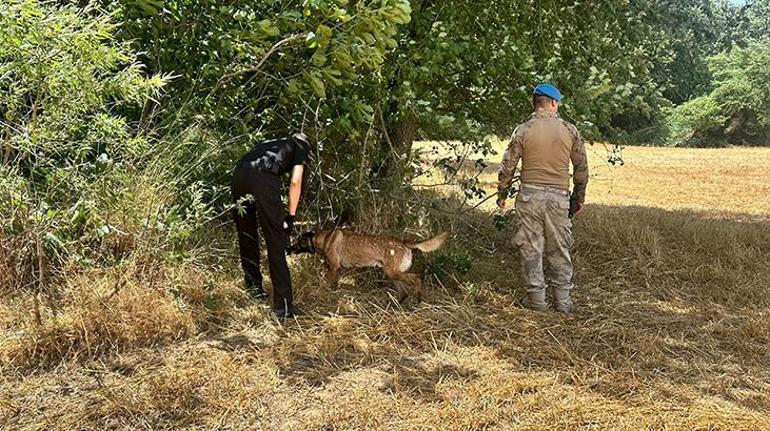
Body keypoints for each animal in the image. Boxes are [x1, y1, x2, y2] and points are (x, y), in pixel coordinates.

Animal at [288, 230, 448, 304]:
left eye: (298, 242)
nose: (288, 249)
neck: (325, 238)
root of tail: (403, 242)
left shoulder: (333, 267)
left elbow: (330, 282)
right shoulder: (336, 269)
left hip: (394, 273)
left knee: (417, 278)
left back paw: (419, 299)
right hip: (392, 274)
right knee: (404, 293)